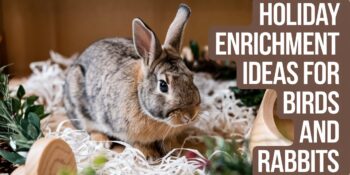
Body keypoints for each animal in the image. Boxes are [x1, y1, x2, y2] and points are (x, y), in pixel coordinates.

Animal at [64, 3, 204, 157]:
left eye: (191, 76)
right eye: (163, 85)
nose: (190, 116)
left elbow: (168, 141)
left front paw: (178, 150)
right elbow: (138, 143)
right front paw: (150, 155)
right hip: (82, 110)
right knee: (89, 127)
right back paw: (102, 141)